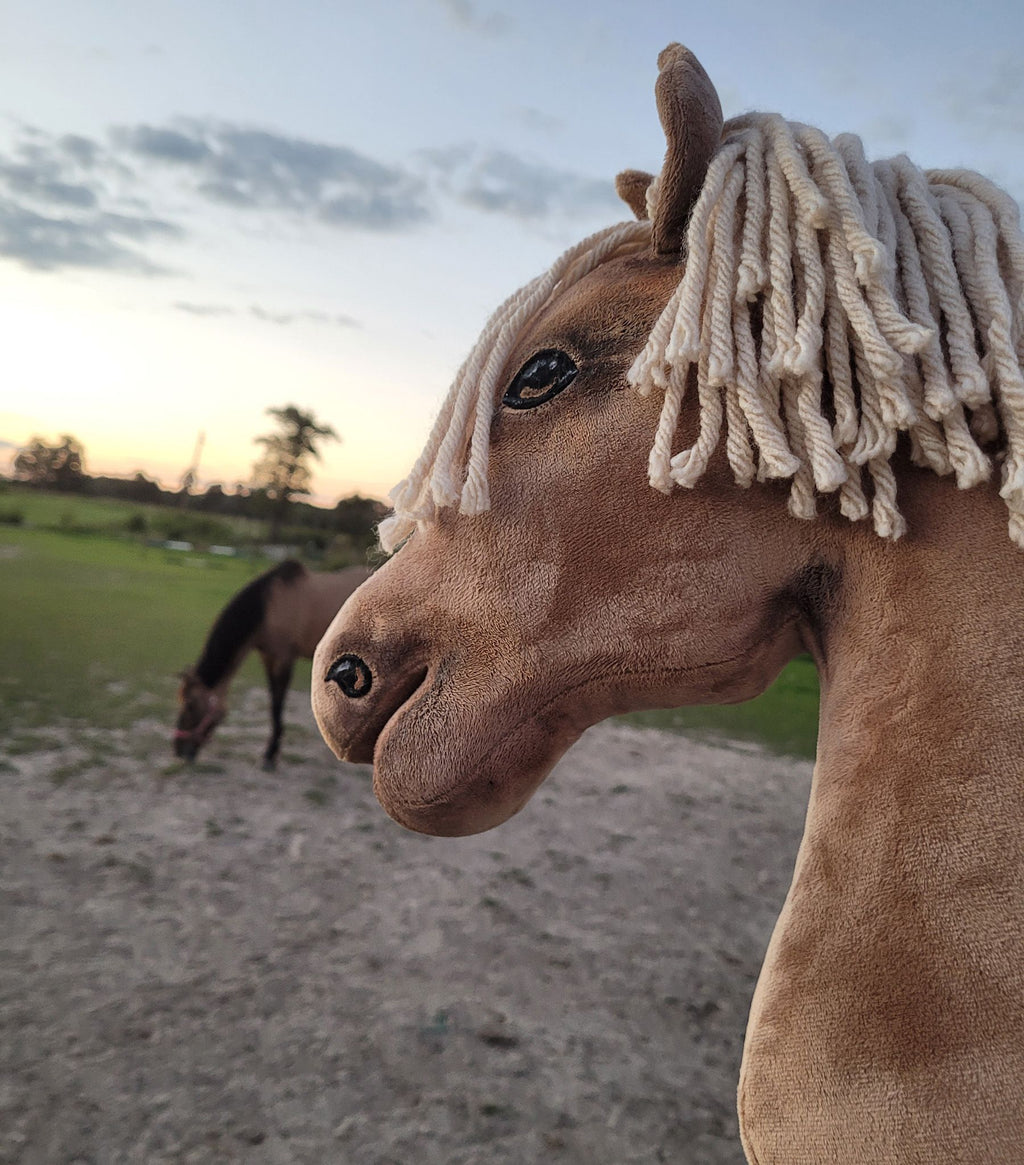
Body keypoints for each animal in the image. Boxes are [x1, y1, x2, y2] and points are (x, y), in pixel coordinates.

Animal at [174, 559, 372, 768]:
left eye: (191, 705)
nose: (179, 750)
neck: (270, 607)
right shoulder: (268, 658)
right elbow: (272, 702)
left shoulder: (284, 659)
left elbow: (278, 704)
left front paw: (270, 755)